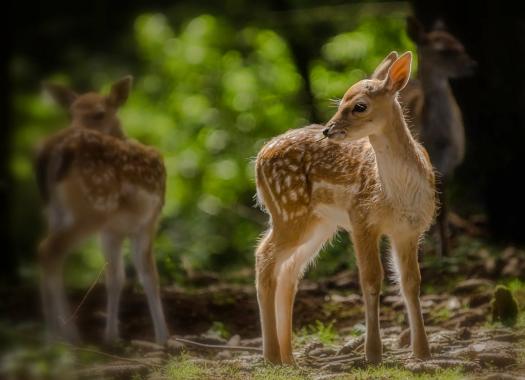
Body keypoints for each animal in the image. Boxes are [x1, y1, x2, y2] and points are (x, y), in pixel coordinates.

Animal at [36, 77, 168, 344]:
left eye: (99, 113)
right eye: (70, 114)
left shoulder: (110, 232)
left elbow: (115, 278)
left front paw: (111, 336)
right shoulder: (149, 220)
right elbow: (149, 275)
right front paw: (164, 338)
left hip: (56, 211)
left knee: (51, 254)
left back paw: (56, 333)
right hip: (91, 208)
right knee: (49, 250)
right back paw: (64, 334)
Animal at [254, 52, 434, 364]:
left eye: (359, 105)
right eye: (340, 103)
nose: (328, 130)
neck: (397, 195)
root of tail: (258, 159)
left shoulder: (409, 230)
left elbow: (411, 282)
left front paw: (422, 352)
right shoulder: (361, 218)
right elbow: (371, 280)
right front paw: (373, 354)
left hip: (318, 224)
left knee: (288, 271)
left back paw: (290, 358)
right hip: (289, 213)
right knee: (263, 258)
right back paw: (272, 356)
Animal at [400, 17, 476, 255]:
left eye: (461, 44)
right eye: (444, 51)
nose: (472, 65)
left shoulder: (450, 165)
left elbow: (443, 211)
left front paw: (447, 252)